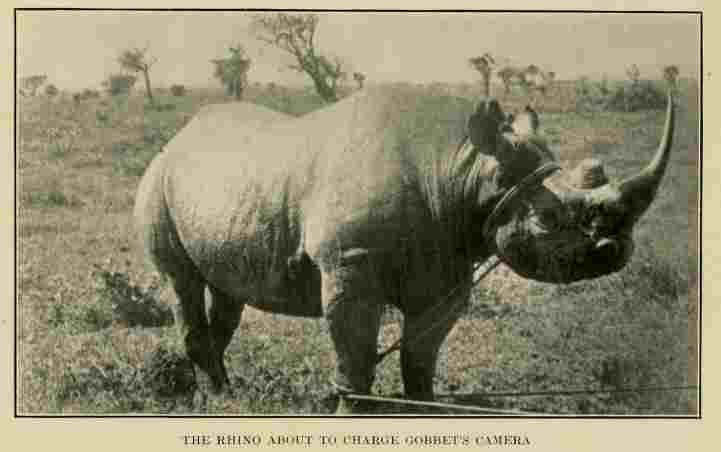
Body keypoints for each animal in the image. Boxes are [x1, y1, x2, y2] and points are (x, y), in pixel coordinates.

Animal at [134, 87, 674, 413]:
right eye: (547, 221)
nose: (613, 250)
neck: (459, 169)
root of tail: (177, 138)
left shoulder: (447, 269)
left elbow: (420, 355)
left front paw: (425, 405)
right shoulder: (349, 262)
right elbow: (354, 354)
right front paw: (350, 413)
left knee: (227, 291)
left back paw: (225, 396)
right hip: (157, 179)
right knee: (181, 281)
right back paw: (219, 402)